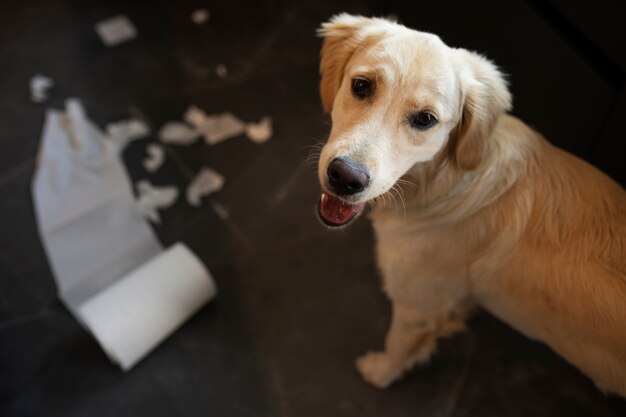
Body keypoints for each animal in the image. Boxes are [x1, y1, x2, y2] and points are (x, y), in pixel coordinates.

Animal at [314, 14, 624, 394]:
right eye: (361, 85)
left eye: (425, 119)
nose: (345, 177)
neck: (443, 183)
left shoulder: (416, 309)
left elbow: (397, 345)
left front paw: (381, 372)